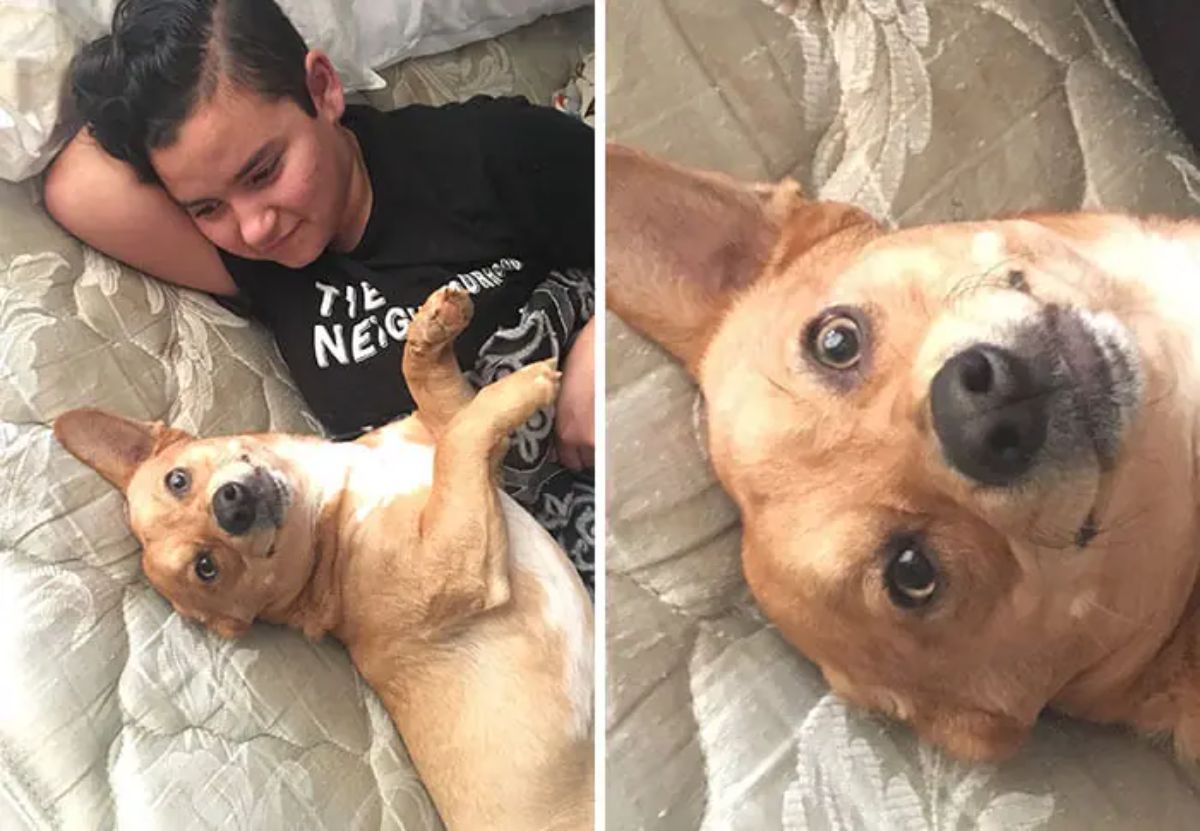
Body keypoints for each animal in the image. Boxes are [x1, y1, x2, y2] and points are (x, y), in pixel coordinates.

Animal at [52, 287, 595, 831]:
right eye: (207, 569)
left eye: (177, 480)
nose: (231, 506)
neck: (332, 504)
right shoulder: (452, 557)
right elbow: (463, 439)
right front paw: (525, 382)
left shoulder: (451, 439)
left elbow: (441, 399)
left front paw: (431, 329)